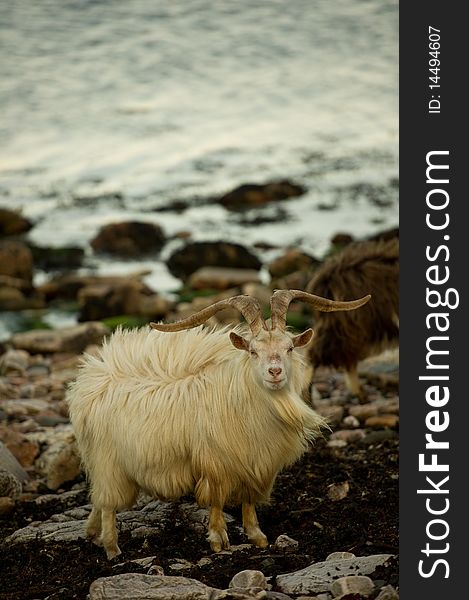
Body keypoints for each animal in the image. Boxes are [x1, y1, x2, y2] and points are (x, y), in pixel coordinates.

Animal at [66, 290, 370, 556]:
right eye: (253, 351)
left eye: (290, 347)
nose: (275, 372)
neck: (241, 392)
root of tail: (89, 378)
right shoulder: (215, 463)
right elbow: (216, 501)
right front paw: (217, 540)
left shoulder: (254, 462)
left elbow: (248, 500)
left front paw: (257, 536)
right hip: (109, 463)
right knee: (108, 504)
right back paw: (112, 548)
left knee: (98, 499)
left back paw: (92, 534)